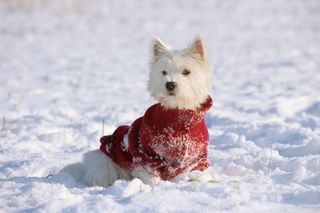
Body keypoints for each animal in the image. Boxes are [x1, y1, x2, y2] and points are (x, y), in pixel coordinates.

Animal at [61, 36, 214, 186]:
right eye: (164, 72)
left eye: (186, 72)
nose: (170, 84)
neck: (178, 114)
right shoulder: (145, 154)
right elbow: (149, 174)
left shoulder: (198, 156)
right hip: (105, 162)